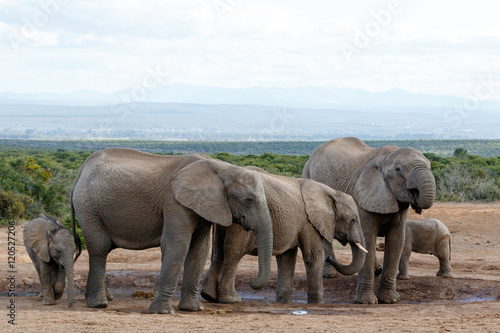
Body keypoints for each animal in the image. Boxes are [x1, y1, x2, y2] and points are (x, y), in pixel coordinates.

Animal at [70, 147, 274, 312]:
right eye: (249, 200)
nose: (252, 281)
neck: (223, 168)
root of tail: (81, 171)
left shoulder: (203, 207)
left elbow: (199, 250)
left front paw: (193, 309)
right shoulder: (175, 203)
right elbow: (178, 246)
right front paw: (163, 312)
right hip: (89, 207)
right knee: (99, 248)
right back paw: (99, 304)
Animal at [199, 167, 368, 304]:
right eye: (353, 220)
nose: (330, 258)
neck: (330, 192)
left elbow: (287, 258)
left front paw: (282, 301)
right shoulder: (308, 221)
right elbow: (313, 257)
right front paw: (317, 303)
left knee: (219, 252)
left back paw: (208, 295)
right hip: (241, 219)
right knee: (233, 254)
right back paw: (231, 299)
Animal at [302, 136, 436, 302]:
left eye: (430, 166)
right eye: (398, 170)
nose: (417, 203)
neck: (386, 158)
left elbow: (396, 241)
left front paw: (389, 300)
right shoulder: (362, 198)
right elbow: (368, 238)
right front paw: (366, 302)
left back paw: (376, 270)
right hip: (308, 177)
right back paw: (331, 274)